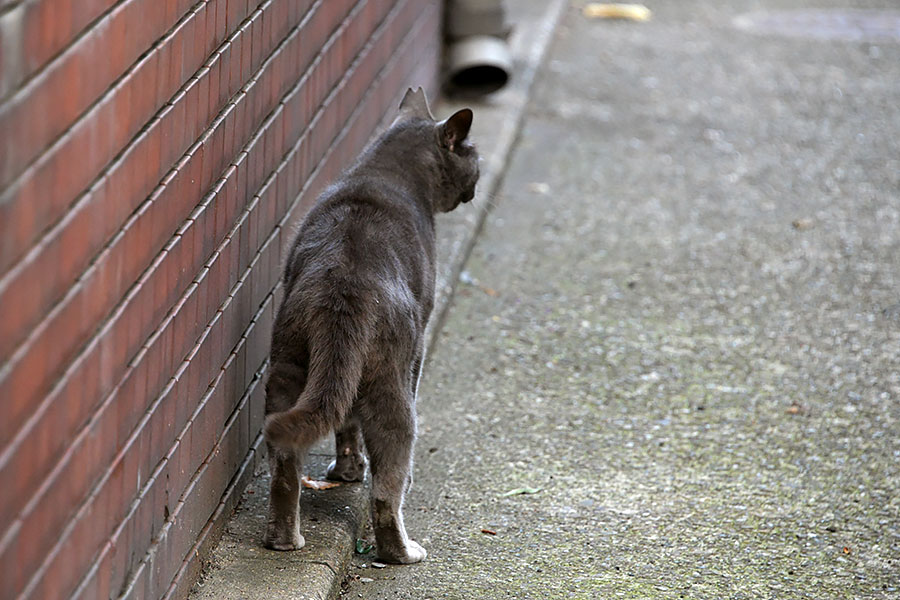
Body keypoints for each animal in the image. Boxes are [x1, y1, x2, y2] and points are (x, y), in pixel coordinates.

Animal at [260, 86, 478, 564]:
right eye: (474, 153)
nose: (476, 179)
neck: (384, 171)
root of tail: (345, 289)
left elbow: (345, 422)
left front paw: (345, 471)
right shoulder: (419, 345)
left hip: (288, 366)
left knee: (285, 466)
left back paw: (284, 541)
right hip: (393, 385)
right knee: (386, 488)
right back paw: (403, 552)